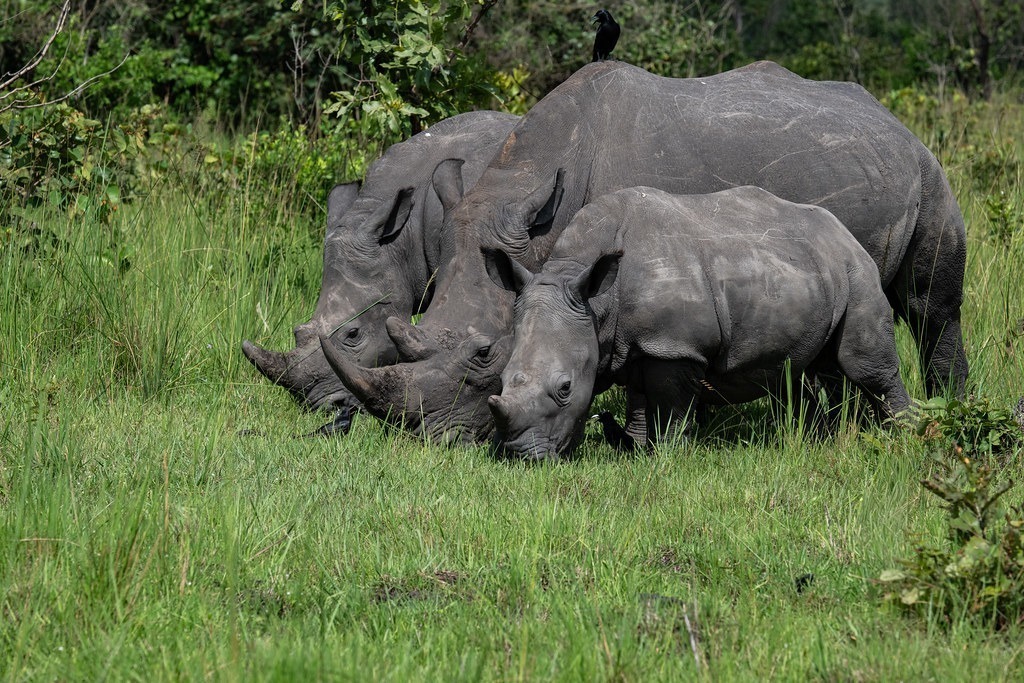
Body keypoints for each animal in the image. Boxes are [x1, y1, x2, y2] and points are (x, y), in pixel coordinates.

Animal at [486, 186, 913, 459]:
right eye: (501, 380)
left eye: (565, 388)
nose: (520, 456)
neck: (595, 301)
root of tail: (844, 232)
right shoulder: (636, 344)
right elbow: (640, 400)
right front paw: (637, 448)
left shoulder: (673, 346)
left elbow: (670, 406)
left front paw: (667, 455)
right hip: (807, 270)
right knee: (809, 369)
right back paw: (822, 440)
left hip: (857, 271)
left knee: (865, 366)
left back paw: (903, 437)